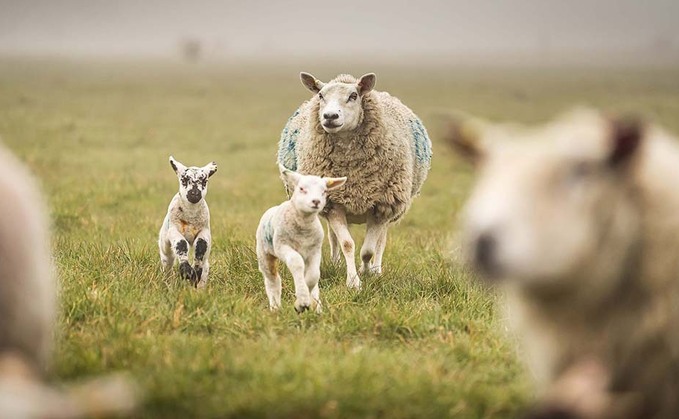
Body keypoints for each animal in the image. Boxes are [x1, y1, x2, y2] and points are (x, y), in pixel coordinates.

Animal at [158, 156, 216, 290]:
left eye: (204, 181)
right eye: (184, 179)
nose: (194, 194)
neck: (191, 215)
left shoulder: (204, 230)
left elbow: (201, 246)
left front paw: (195, 273)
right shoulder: (174, 229)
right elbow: (181, 244)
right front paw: (186, 271)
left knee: (206, 266)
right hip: (164, 243)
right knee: (167, 260)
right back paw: (167, 281)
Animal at [258, 166, 348, 314]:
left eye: (324, 191)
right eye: (301, 188)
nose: (316, 201)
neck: (303, 227)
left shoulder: (314, 250)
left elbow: (313, 276)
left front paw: (305, 301)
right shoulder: (282, 245)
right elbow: (296, 262)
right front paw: (302, 301)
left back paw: (317, 306)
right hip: (264, 253)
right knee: (272, 280)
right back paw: (275, 307)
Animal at [276, 71, 430, 288]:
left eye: (354, 96)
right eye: (321, 95)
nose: (330, 116)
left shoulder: (380, 207)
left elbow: (368, 251)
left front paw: (365, 272)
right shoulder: (334, 204)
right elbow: (347, 244)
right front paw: (353, 282)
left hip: (390, 208)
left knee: (380, 242)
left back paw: (376, 270)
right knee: (333, 237)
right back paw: (336, 263)